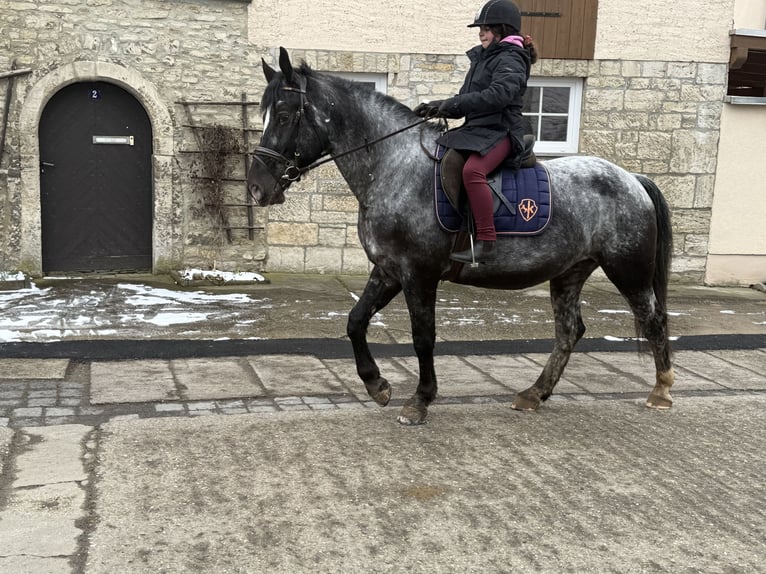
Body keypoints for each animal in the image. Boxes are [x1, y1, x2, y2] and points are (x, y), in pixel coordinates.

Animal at [249, 48, 676, 428]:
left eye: (284, 115)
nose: (257, 188)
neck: (393, 167)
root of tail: (631, 179)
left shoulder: (418, 274)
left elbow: (423, 337)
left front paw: (419, 401)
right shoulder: (388, 271)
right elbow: (356, 321)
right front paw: (376, 385)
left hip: (628, 270)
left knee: (653, 319)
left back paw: (662, 390)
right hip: (570, 272)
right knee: (570, 331)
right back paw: (534, 394)